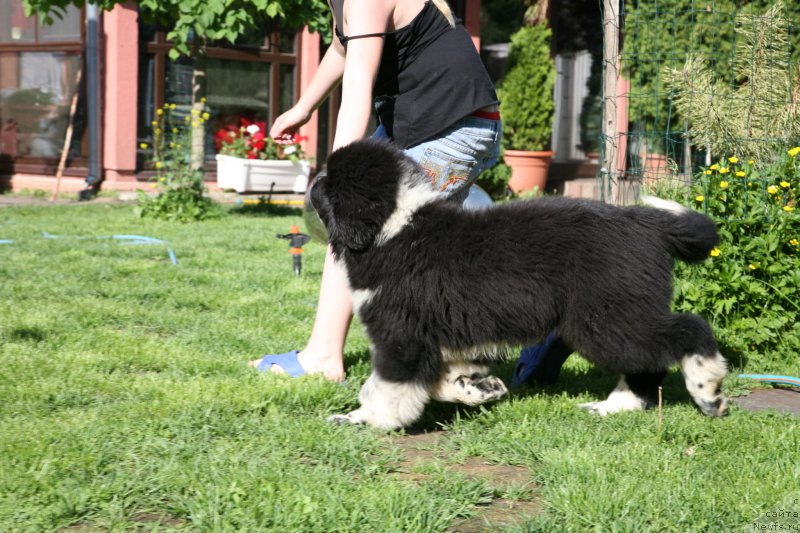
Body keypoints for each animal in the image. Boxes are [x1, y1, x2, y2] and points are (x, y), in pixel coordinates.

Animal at [310, 138, 728, 428]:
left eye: (330, 183)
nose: (313, 176)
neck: (393, 227)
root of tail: (647, 223)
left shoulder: (401, 333)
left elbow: (386, 385)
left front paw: (365, 418)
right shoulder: (440, 332)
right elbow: (444, 376)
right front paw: (479, 388)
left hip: (607, 318)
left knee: (687, 330)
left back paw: (708, 391)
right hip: (611, 317)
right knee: (649, 364)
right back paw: (613, 406)